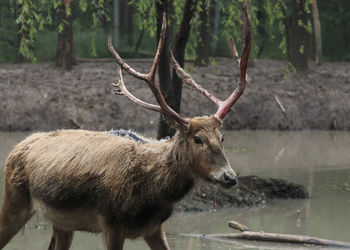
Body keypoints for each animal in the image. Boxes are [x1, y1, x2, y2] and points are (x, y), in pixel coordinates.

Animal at [0, 3, 252, 250]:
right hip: (14, 198)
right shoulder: (111, 223)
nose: (230, 177)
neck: (151, 194)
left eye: (222, 138)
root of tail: (15, 149)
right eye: (197, 139)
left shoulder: (155, 227)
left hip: (61, 222)